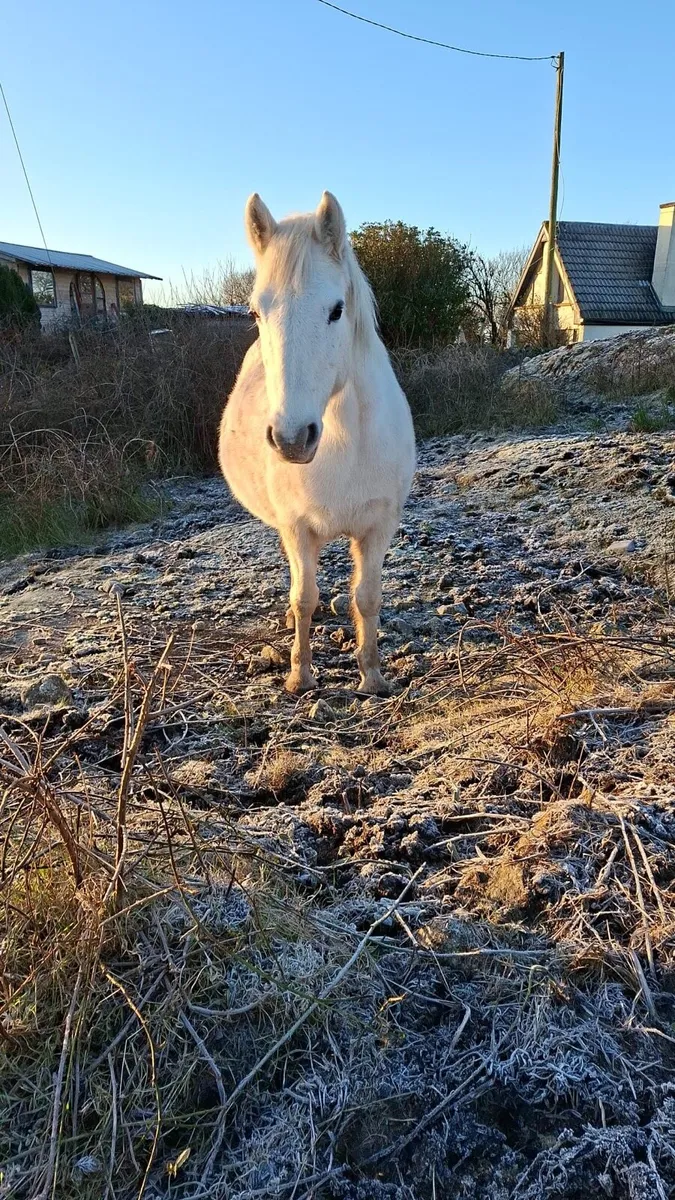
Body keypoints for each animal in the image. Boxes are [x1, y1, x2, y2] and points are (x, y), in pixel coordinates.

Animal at [218, 191, 416, 696]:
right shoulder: (297, 527)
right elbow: (304, 596)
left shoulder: (378, 527)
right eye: (256, 312)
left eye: (336, 310)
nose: (292, 438)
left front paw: (372, 676)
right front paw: (300, 674)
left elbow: (367, 597)